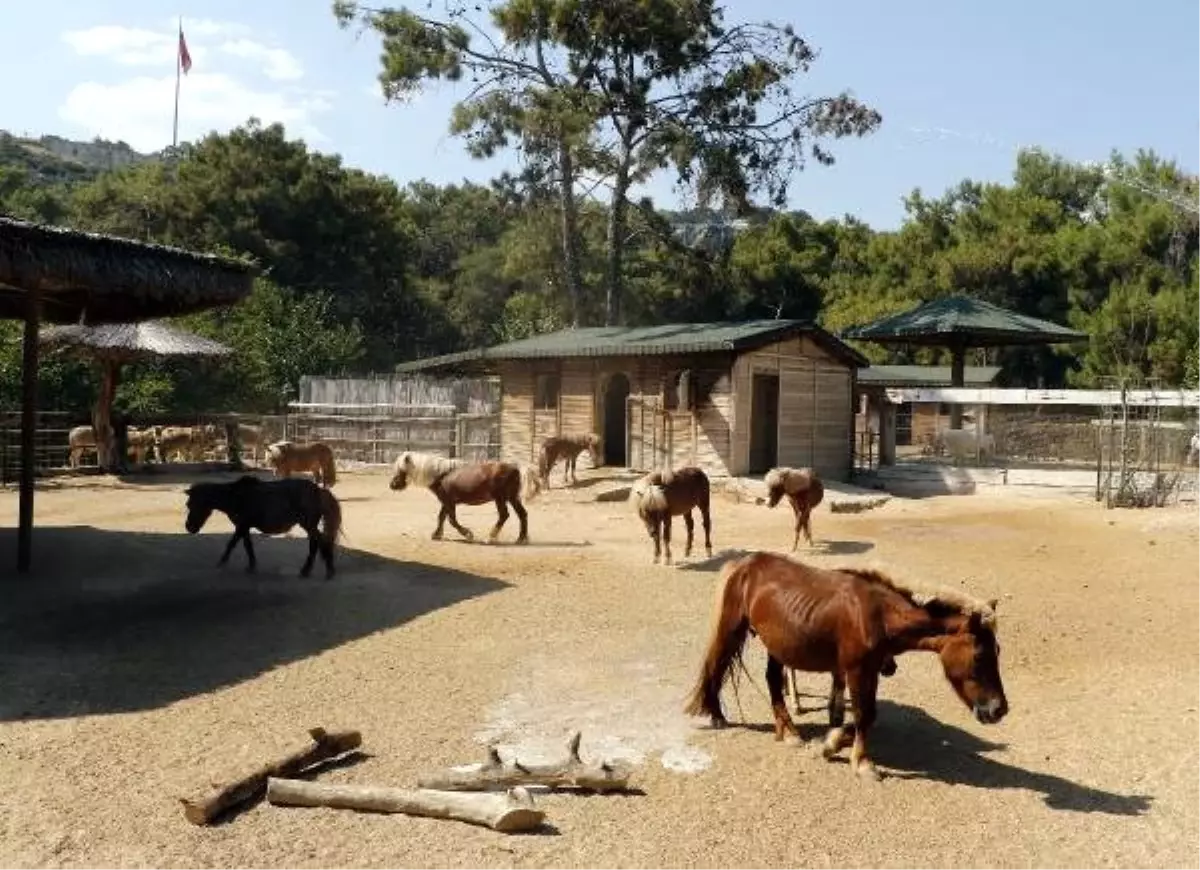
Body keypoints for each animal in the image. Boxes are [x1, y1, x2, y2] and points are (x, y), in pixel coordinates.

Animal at [183, 475, 343, 576]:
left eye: (191, 504)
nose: (189, 528)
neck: (235, 496)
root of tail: (318, 490)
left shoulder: (241, 525)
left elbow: (232, 543)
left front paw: (222, 562)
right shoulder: (244, 527)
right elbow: (247, 545)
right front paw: (251, 565)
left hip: (308, 524)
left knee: (321, 541)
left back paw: (327, 570)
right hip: (309, 525)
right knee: (316, 543)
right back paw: (308, 570)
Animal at [386, 448, 542, 542]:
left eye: (400, 468)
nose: (392, 485)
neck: (442, 474)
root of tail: (515, 467)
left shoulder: (449, 502)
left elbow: (452, 520)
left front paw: (467, 534)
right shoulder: (446, 502)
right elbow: (441, 517)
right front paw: (437, 534)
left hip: (500, 498)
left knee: (504, 515)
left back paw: (491, 537)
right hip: (512, 498)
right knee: (522, 514)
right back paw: (521, 538)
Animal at [681, 549, 1008, 782]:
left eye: (997, 651)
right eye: (980, 656)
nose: (999, 710)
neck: (878, 615)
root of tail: (745, 562)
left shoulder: (869, 671)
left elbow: (865, 715)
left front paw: (831, 743)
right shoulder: (857, 670)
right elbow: (864, 715)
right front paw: (861, 763)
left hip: (779, 646)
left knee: (772, 680)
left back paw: (788, 732)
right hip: (733, 629)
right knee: (716, 666)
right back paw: (718, 716)